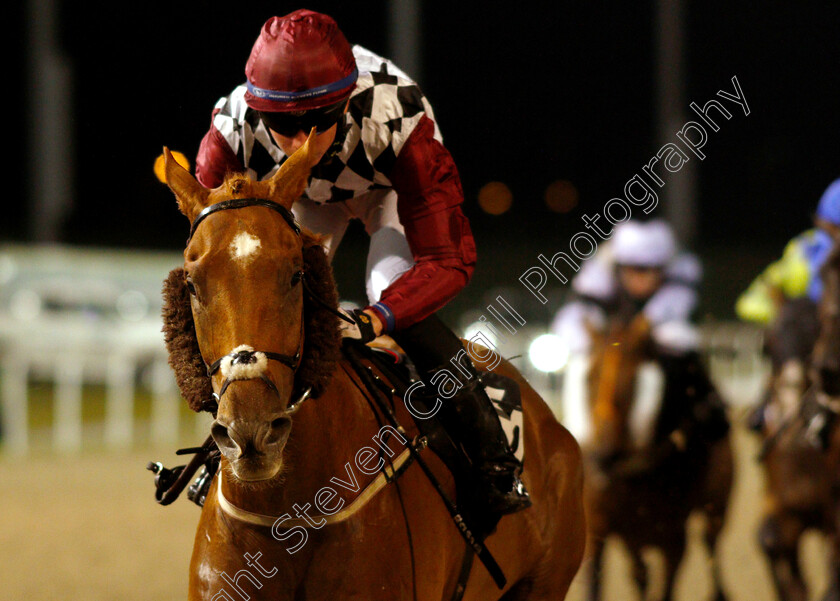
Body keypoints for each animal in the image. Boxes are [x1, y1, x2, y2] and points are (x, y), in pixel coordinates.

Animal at [580, 314, 732, 600]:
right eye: (589, 377)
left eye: (634, 381)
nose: (603, 455)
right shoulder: (596, 530)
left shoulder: (673, 540)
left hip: (717, 504)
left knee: (711, 541)